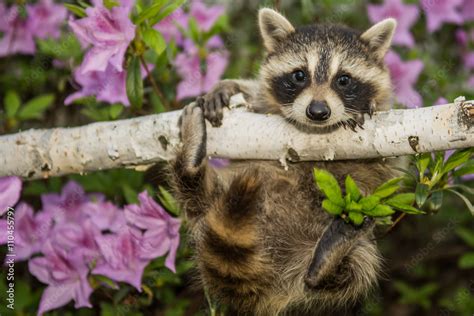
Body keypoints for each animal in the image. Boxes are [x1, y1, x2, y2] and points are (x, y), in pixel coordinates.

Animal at [172, 7, 398, 316]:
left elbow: (385, 165)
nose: (318, 111)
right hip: (215, 206)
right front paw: (227, 86)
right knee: (194, 194)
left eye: (343, 79)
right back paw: (190, 162)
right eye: (299, 75)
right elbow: (253, 94)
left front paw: (364, 108)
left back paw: (325, 263)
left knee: (354, 270)